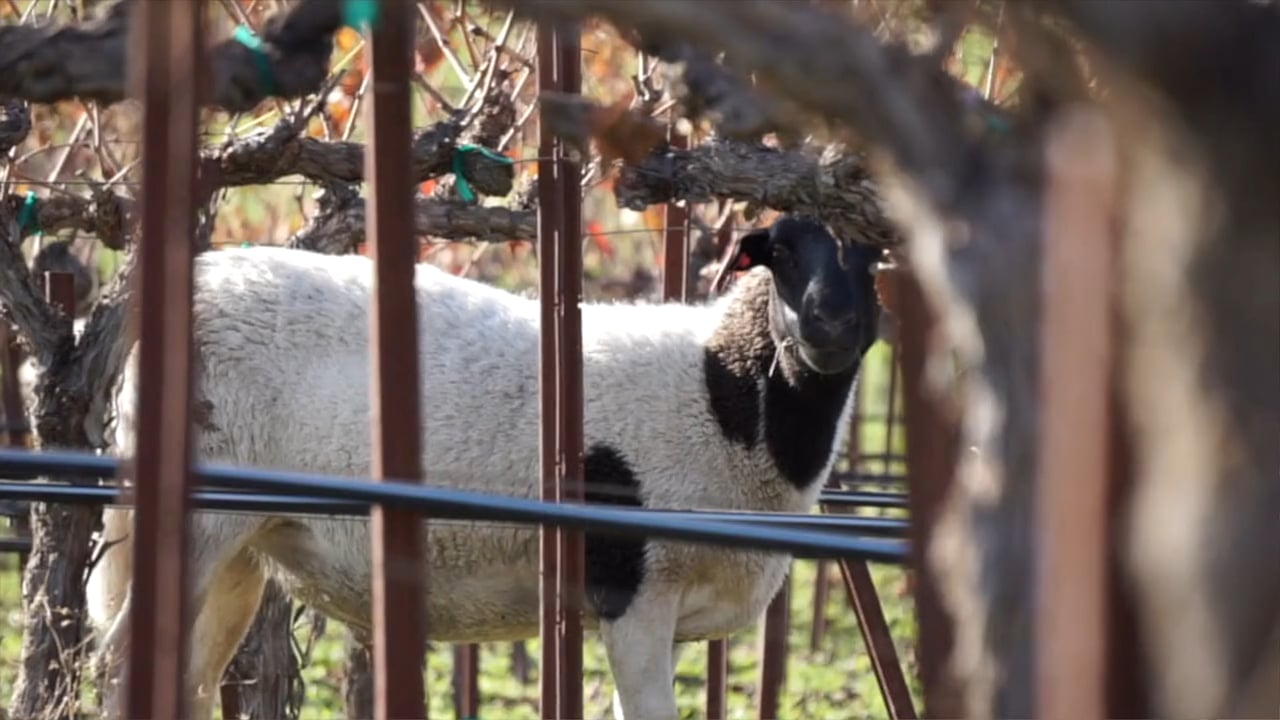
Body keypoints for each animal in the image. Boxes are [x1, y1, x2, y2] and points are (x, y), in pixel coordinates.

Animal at [86, 214, 884, 720]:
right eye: (779, 255)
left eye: (872, 258)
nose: (830, 324)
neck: (720, 396)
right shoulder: (633, 588)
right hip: (199, 522)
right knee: (124, 659)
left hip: (241, 549)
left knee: (187, 679)